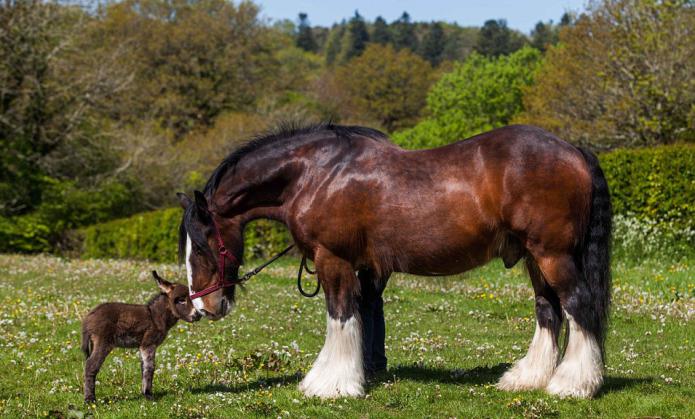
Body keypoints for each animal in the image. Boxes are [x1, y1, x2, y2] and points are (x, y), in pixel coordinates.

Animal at [83, 272, 201, 404]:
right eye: (181, 300)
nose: (198, 315)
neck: (155, 316)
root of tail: (88, 318)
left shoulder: (142, 346)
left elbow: (143, 367)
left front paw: (145, 393)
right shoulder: (148, 344)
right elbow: (150, 367)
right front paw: (149, 395)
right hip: (103, 343)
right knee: (90, 366)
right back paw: (90, 400)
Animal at [177, 122, 612, 400]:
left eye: (201, 245)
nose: (204, 306)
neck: (315, 173)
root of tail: (573, 151)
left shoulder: (333, 259)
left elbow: (341, 315)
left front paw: (332, 384)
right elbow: (360, 314)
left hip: (552, 254)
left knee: (577, 305)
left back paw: (573, 385)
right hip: (534, 258)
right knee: (548, 310)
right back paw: (529, 379)